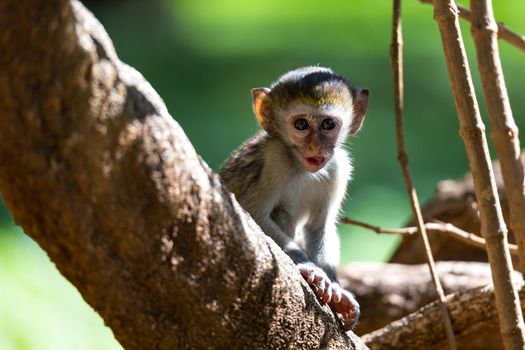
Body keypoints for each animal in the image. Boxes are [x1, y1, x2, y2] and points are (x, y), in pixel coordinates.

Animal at [220, 66, 368, 330]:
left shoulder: (339, 167)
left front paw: (337, 289)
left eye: (328, 124)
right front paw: (308, 268)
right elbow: (254, 214)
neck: (299, 165)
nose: (315, 147)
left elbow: (319, 226)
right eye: (300, 124)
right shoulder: (275, 158)